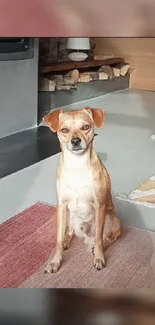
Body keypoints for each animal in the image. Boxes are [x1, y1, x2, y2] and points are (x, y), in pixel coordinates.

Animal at [42, 107, 121, 272]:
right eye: (64, 130)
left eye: (85, 127)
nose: (75, 141)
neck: (77, 165)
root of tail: (85, 235)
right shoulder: (62, 205)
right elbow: (58, 239)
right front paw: (55, 261)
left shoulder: (100, 205)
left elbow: (99, 239)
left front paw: (99, 258)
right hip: (68, 215)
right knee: (69, 231)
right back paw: (67, 240)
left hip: (112, 220)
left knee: (106, 238)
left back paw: (97, 246)